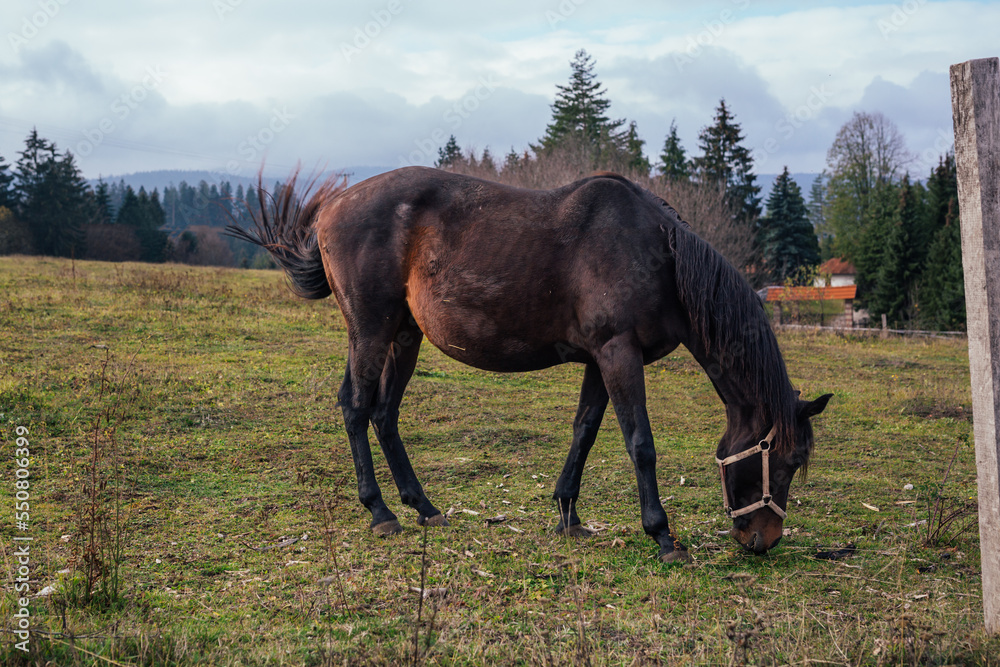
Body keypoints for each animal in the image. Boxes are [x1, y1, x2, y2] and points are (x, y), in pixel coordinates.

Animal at [226, 166, 831, 563]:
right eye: (784, 459)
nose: (761, 541)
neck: (659, 253)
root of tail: (331, 207)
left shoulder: (601, 358)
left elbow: (585, 430)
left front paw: (568, 515)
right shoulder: (619, 353)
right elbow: (640, 443)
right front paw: (662, 536)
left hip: (404, 336)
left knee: (383, 414)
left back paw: (423, 507)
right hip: (370, 332)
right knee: (355, 408)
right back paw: (380, 512)